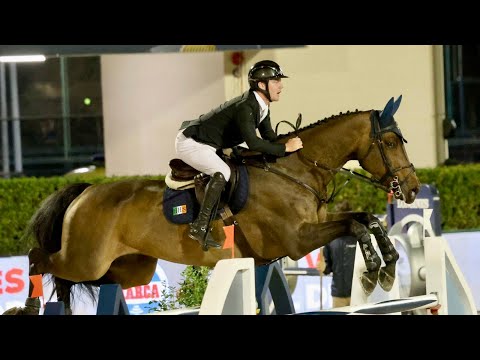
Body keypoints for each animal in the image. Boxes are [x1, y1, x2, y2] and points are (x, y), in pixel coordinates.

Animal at [3, 94, 418, 314]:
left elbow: (366, 218)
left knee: (93, 281)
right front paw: (373, 270)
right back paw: (28, 306)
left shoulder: (308, 230)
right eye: (390, 142)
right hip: (84, 259)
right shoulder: (297, 240)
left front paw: (386, 266)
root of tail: (86, 191)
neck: (297, 168)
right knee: (39, 258)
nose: (413, 189)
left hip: (129, 268)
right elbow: (354, 224)